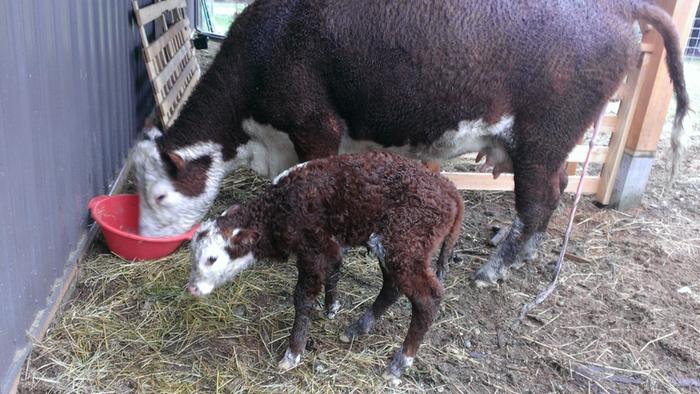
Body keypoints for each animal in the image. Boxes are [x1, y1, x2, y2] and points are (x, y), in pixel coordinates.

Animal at [135, 1, 688, 288]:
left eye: (160, 195)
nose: (143, 240)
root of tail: (617, 8)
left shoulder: (316, 127)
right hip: (552, 145)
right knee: (559, 187)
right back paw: (522, 253)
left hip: (542, 139)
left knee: (539, 201)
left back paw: (493, 269)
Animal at [185, 152, 464, 382]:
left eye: (212, 258)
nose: (192, 289)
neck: (278, 208)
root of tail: (449, 189)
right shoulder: (330, 246)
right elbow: (334, 273)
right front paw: (331, 308)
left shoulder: (313, 251)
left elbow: (302, 298)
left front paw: (293, 352)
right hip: (395, 247)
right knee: (392, 286)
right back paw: (357, 328)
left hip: (406, 242)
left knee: (428, 298)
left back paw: (399, 365)